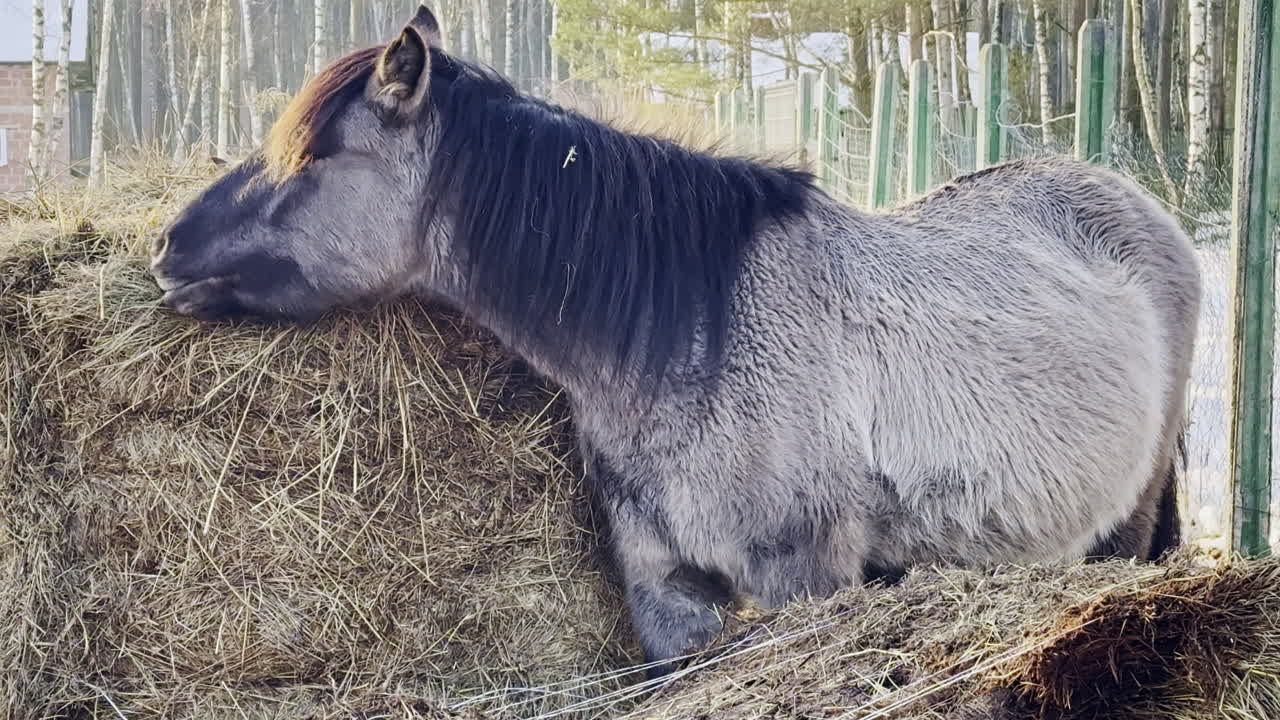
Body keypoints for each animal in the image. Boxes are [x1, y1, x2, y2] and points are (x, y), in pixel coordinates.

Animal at [149, 5, 1201, 677]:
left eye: (314, 156)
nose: (167, 247)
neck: (695, 347)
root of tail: (1138, 204)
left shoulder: (802, 580)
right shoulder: (663, 593)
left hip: (1126, 525)